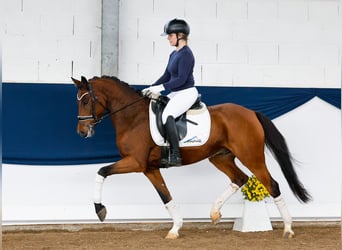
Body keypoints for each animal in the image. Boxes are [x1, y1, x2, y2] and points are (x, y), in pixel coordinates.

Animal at [73, 75, 312, 238]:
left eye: (85, 101)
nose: (82, 132)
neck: (133, 118)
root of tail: (251, 113)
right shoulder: (149, 168)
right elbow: (166, 196)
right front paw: (175, 228)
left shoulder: (135, 162)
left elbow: (101, 171)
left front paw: (100, 210)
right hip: (220, 157)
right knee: (240, 178)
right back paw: (214, 212)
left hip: (251, 157)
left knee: (272, 185)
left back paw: (288, 229)